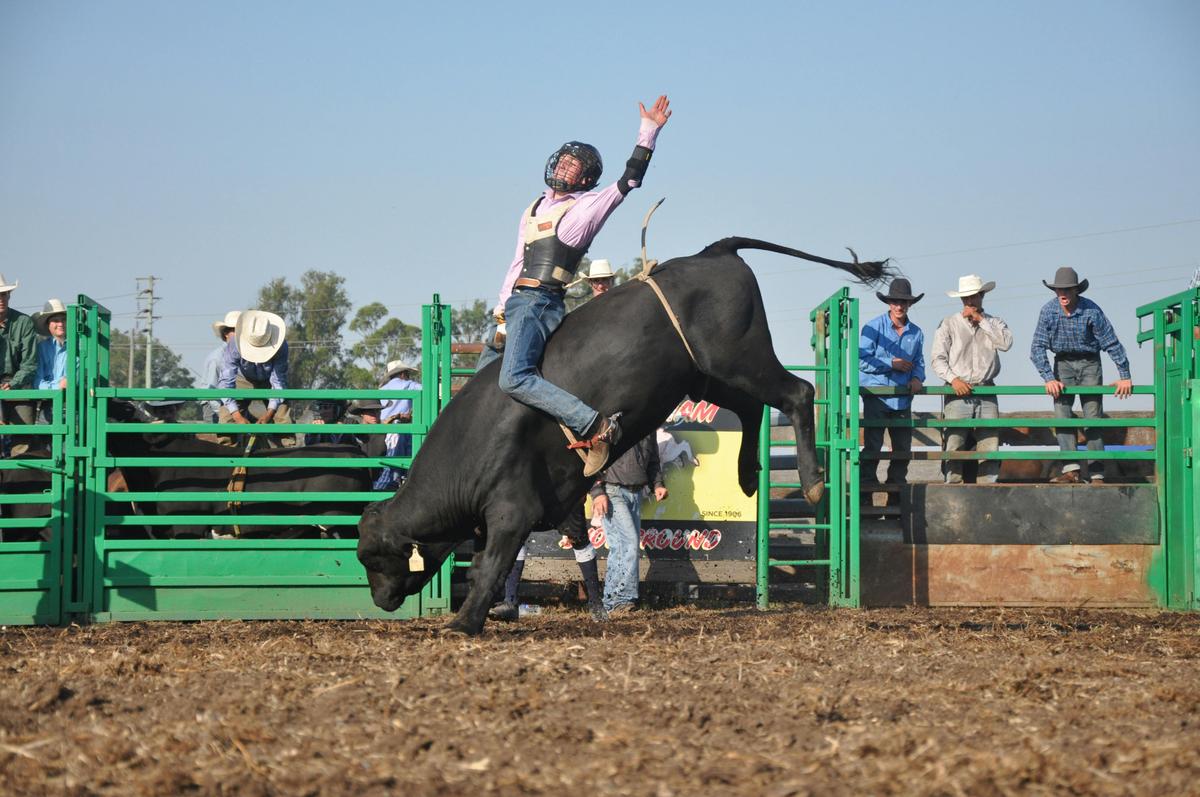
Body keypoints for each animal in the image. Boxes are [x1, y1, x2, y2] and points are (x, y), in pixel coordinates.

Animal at [358, 237, 892, 634]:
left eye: (374, 557)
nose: (380, 601)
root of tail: (712, 253)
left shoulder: (512, 511)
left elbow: (490, 565)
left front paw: (464, 623)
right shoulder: (557, 503)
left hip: (740, 357)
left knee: (799, 392)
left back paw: (811, 482)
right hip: (706, 375)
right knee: (752, 406)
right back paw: (746, 476)